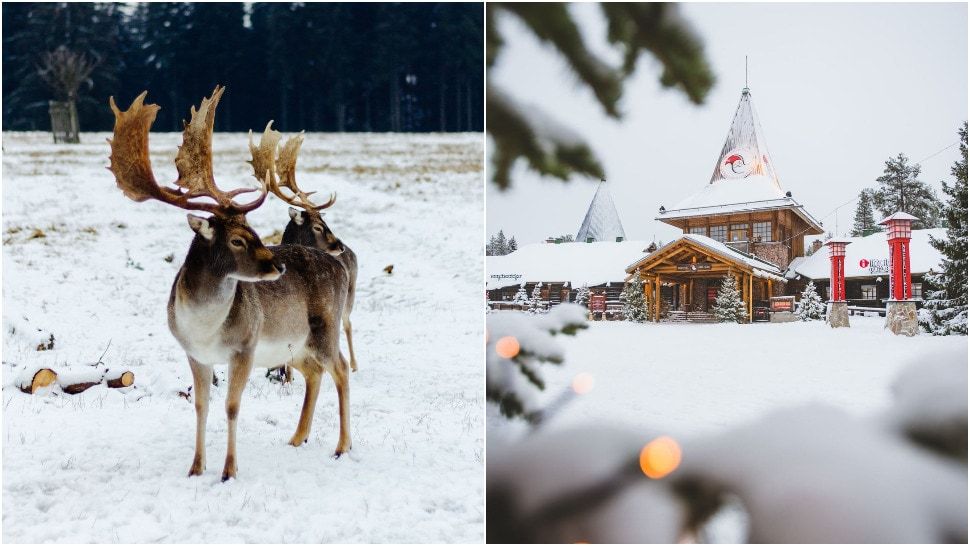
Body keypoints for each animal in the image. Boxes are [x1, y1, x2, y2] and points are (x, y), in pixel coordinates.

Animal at [246, 123, 360, 370]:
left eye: (325, 222)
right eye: (317, 226)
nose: (339, 245)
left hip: (349, 294)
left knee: (347, 323)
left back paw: (354, 364)